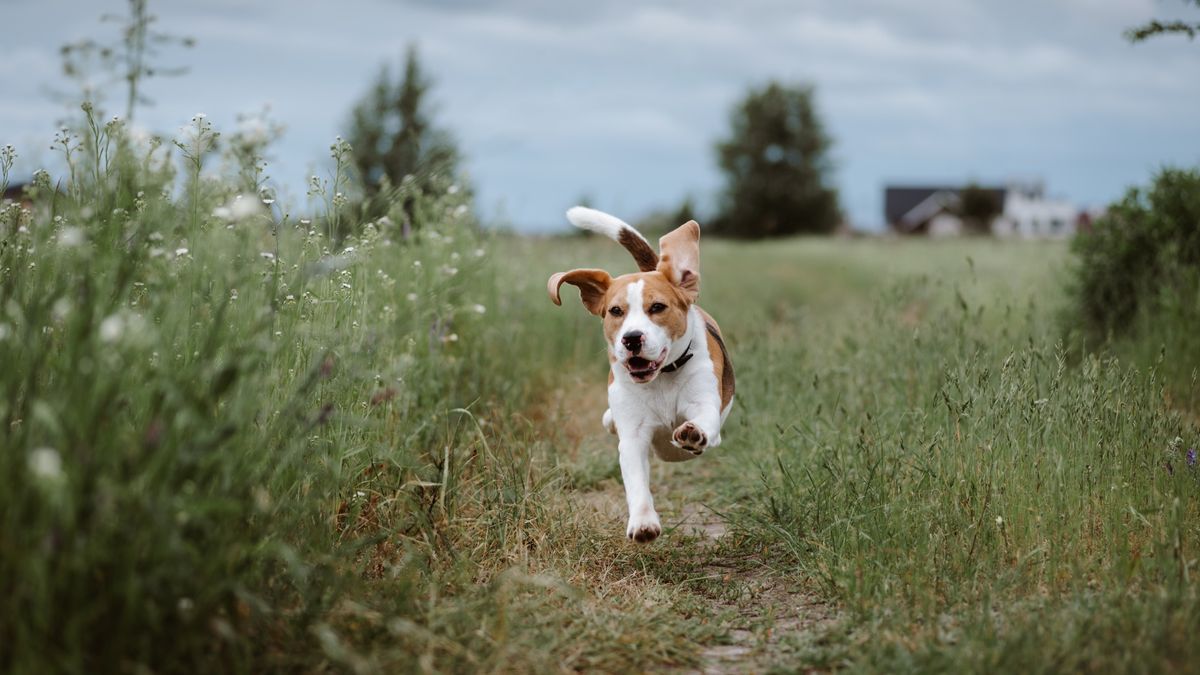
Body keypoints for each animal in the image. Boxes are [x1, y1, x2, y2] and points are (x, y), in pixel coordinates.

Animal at [547, 206, 729, 540]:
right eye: (615, 311)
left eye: (657, 307)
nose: (631, 339)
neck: (663, 378)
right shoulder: (633, 436)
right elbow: (635, 483)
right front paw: (643, 522)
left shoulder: (705, 404)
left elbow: (703, 420)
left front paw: (693, 433)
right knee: (610, 420)